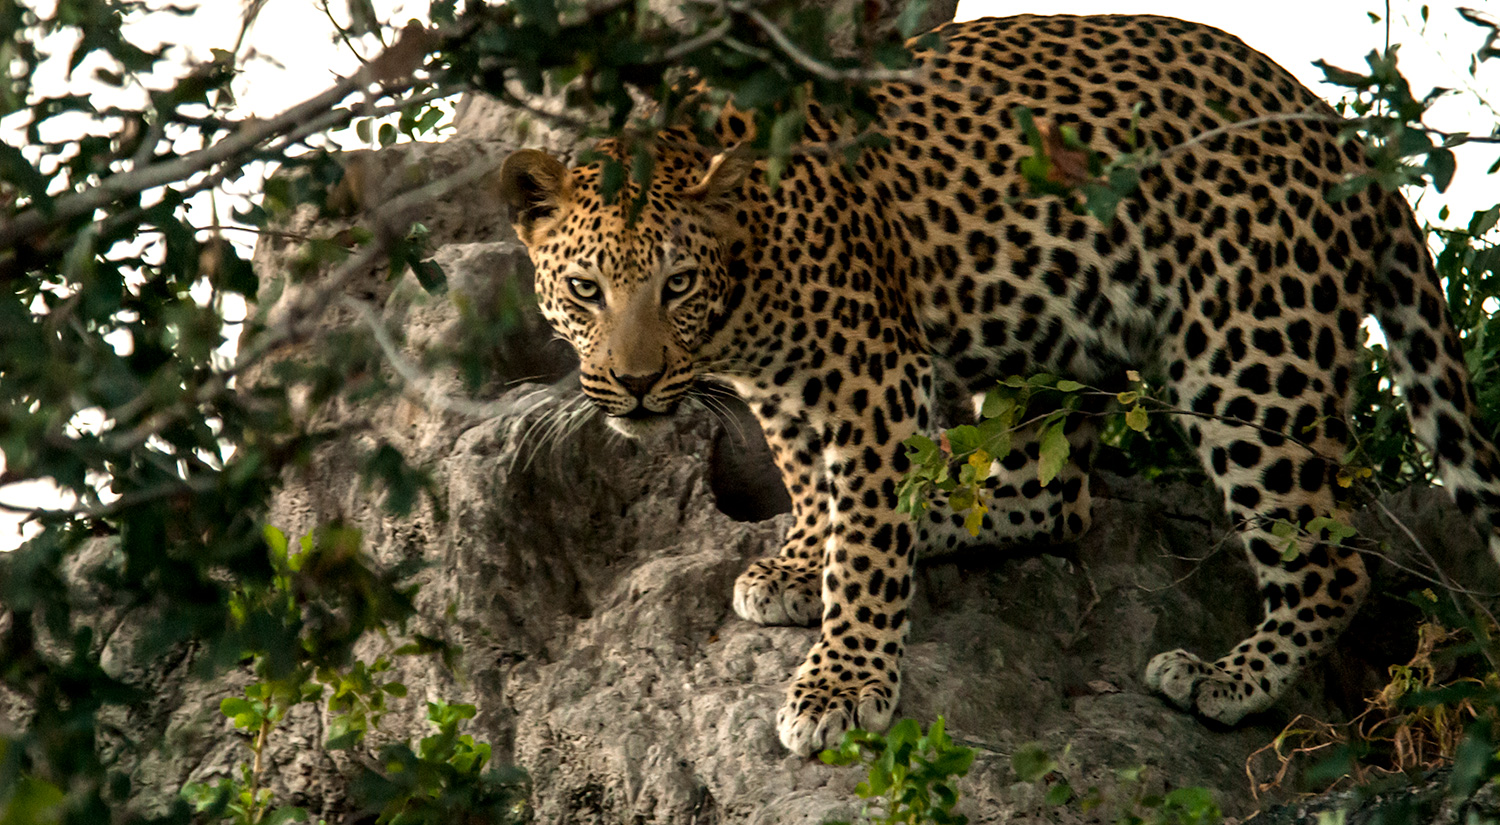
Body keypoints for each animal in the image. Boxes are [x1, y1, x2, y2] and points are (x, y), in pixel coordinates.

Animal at [497, 13, 1500, 757]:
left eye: (676, 285)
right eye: (585, 288)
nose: (634, 385)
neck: (744, 282)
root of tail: (1337, 130)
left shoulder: (873, 368)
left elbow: (865, 536)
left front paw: (843, 679)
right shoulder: (788, 385)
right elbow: (811, 481)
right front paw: (802, 560)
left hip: (1249, 355)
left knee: (1331, 560)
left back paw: (1225, 679)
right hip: (1055, 329)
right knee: (1056, 500)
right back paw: (943, 513)